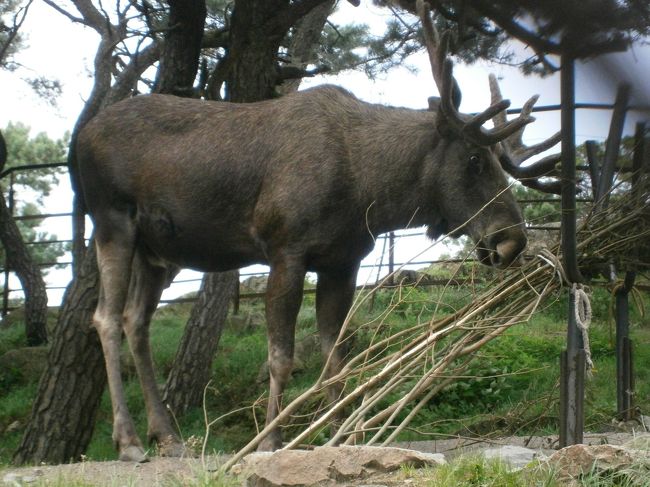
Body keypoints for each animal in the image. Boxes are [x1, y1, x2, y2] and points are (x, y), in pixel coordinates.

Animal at [74, 1, 556, 464]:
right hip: (113, 220)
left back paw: (167, 437)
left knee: (136, 321)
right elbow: (281, 357)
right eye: (474, 159)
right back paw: (129, 441)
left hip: (158, 251)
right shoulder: (286, 248)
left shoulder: (342, 261)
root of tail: (79, 138)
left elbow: (335, 357)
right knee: (106, 318)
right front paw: (271, 439)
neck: (367, 190)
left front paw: (345, 435)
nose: (512, 240)